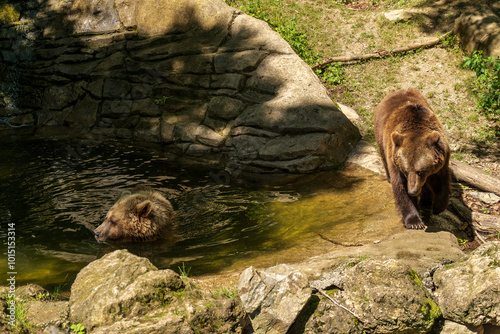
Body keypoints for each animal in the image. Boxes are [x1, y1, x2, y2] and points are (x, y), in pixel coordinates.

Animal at [374, 88, 452, 230]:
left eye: (420, 171)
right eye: (405, 171)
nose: (412, 191)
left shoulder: (441, 161)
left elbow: (441, 181)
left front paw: (438, 207)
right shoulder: (396, 161)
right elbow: (401, 187)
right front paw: (414, 221)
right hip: (380, 134)